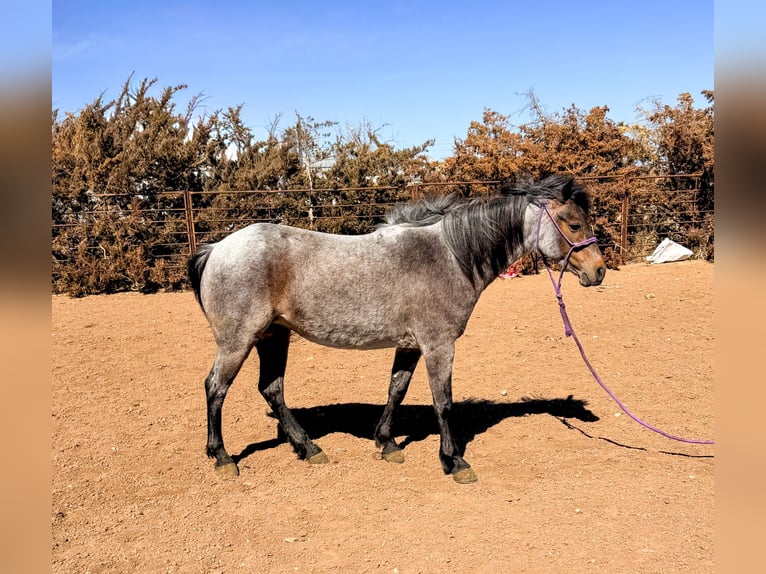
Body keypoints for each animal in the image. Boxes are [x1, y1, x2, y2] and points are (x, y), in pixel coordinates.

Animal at [188, 174, 606, 483]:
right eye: (573, 224)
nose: (598, 270)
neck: (451, 256)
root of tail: (216, 249)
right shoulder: (439, 345)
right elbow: (443, 402)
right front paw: (454, 461)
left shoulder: (410, 345)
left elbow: (396, 391)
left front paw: (387, 444)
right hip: (238, 341)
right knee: (215, 387)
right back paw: (222, 457)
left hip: (274, 336)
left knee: (271, 389)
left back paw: (309, 448)